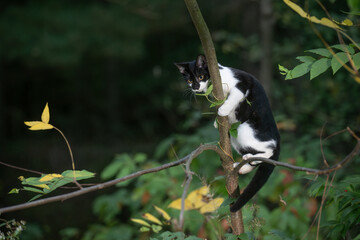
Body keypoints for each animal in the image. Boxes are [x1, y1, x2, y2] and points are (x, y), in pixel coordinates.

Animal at [175, 54, 282, 212]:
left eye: (200, 76)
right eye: (189, 80)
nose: (195, 87)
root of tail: (278, 138)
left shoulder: (241, 84)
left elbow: (232, 98)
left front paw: (222, 111)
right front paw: (216, 121)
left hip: (245, 129)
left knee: (269, 150)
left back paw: (251, 157)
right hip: (235, 139)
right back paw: (244, 166)